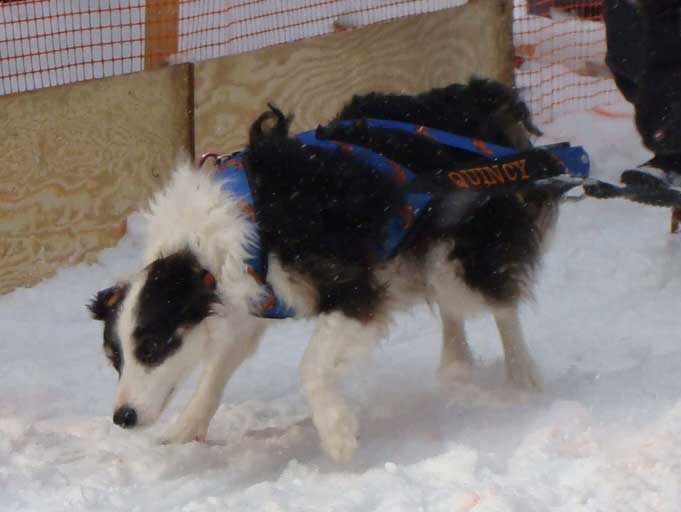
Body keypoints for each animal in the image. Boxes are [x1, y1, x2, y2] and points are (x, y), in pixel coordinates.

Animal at [89, 78, 564, 462]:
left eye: (152, 348)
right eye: (115, 357)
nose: (122, 417)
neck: (206, 245)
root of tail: (479, 96)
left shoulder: (352, 292)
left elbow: (311, 367)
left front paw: (337, 433)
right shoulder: (251, 300)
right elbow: (217, 370)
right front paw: (187, 427)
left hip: (461, 255)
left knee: (499, 304)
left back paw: (521, 377)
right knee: (451, 306)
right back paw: (456, 365)